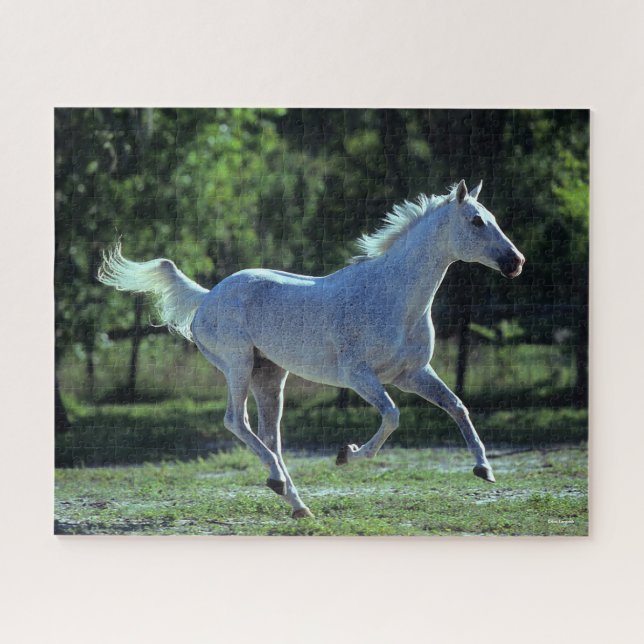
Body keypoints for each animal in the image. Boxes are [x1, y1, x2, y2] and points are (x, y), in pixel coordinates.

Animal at [98, 179, 525, 519]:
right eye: (476, 221)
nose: (516, 262)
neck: (393, 296)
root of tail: (206, 298)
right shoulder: (360, 376)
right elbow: (392, 416)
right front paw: (346, 454)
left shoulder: (411, 374)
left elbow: (457, 407)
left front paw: (484, 469)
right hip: (238, 365)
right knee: (237, 422)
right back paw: (279, 483)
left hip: (270, 377)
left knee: (270, 436)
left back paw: (296, 502)